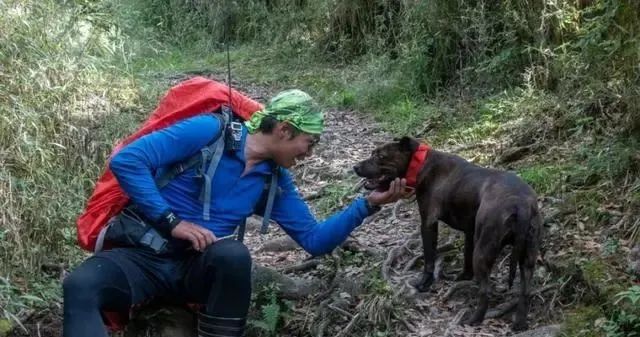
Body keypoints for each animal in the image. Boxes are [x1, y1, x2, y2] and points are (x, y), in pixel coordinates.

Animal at [352, 135, 544, 330]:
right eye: (372, 153)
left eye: (380, 156)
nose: (356, 167)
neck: (420, 163)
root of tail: (521, 205)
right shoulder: (470, 231)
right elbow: (466, 255)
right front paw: (464, 276)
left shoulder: (428, 223)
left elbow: (429, 257)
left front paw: (424, 283)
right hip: (527, 255)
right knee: (526, 291)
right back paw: (519, 323)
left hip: (484, 249)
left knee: (486, 291)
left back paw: (474, 319)